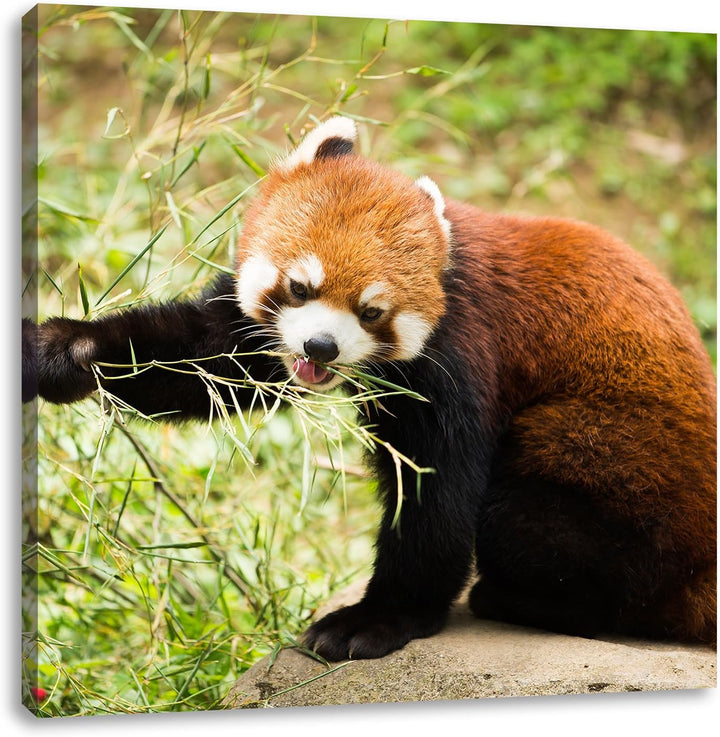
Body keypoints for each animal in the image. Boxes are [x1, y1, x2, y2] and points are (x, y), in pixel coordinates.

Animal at [24, 116, 717, 660]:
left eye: (372, 311)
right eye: (300, 287)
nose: (320, 348)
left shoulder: (462, 356)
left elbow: (437, 495)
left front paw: (377, 620)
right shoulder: (255, 332)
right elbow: (206, 357)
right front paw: (63, 351)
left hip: (607, 465)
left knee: (522, 520)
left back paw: (520, 599)